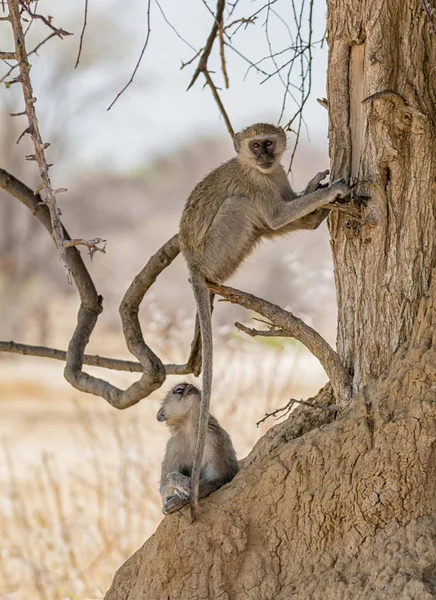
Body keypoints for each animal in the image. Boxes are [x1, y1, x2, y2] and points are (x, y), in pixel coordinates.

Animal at [157, 384, 238, 516]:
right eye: (178, 390)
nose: (190, 387)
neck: (191, 429)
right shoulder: (173, 446)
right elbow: (163, 487)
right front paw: (179, 485)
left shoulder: (215, 439)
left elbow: (217, 479)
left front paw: (177, 500)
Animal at [179, 123, 352, 520]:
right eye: (255, 145)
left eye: (269, 143)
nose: (264, 156)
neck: (262, 172)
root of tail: (194, 266)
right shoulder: (256, 185)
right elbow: (273, 215)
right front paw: (330, 190)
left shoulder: (277, 176)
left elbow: (281, 211)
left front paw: (315, 188)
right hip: (217, 252)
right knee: (244, 208)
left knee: (265, 227)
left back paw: (313, 218)